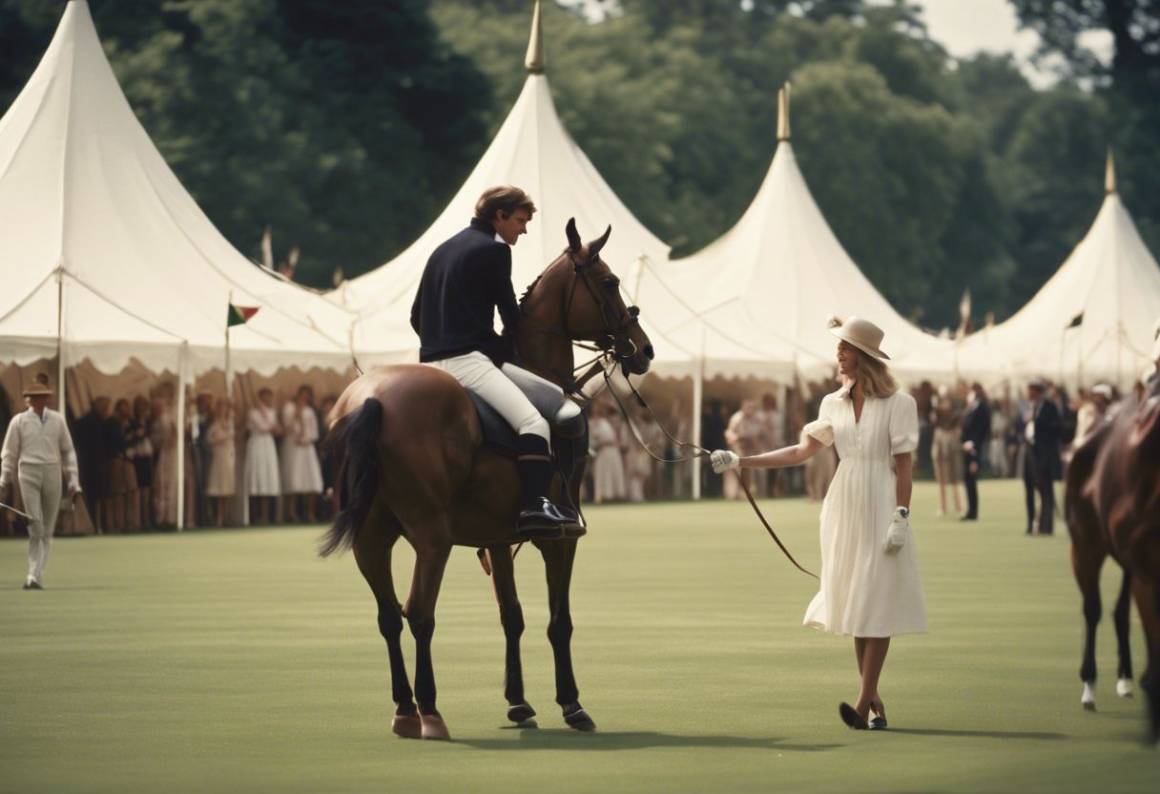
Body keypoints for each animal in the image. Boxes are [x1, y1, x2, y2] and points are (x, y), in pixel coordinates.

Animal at [317, 217, 654, 738]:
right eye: (609, 282)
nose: (643, 350)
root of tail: (370, 399)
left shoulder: (497, 538)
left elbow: (510, 616)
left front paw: (518, 703)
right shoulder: (561, 540)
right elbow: (559, 621)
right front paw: (572, 704)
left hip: (371, 536)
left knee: (388, 616)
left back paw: (404, 709)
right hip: (431, 535)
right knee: (419, 613)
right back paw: (431, 712)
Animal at [1067, 376, 1160, 742]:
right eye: (1077, 415)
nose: (1073, 447)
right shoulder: (1086, 546)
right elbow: (1094, 608)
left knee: (1121, 610)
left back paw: (1125, 679)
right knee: (1097, 608)